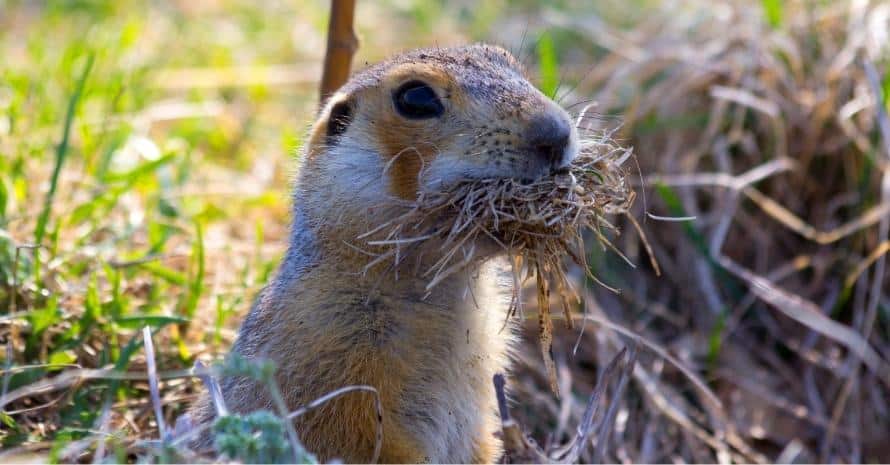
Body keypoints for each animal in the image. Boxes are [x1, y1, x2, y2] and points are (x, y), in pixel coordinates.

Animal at [187, 42, 576, 460]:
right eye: (416, 98)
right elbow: (359, 435)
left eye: (505, 58)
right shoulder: (328, 353)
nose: (557, 132)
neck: (438, 285)